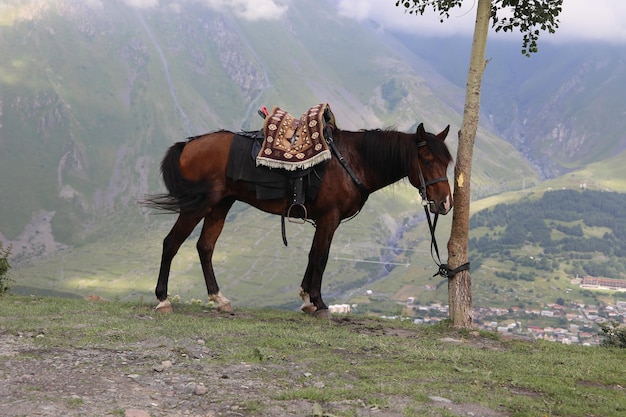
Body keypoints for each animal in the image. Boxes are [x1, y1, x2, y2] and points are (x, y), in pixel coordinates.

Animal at [144, 122, 450, 316]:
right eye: (426, 160)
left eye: (447, 161)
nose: (445, 203)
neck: (352, 160)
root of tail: (189, 144)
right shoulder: (329, 218)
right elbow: (321, 257)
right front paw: (319, 303)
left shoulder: (324, 221)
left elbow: (313, 255)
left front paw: (306, 299)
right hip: (199, 206)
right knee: (171, 243)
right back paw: (163, 299)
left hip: (220, 205)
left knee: (205, 247)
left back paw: (220, 299)